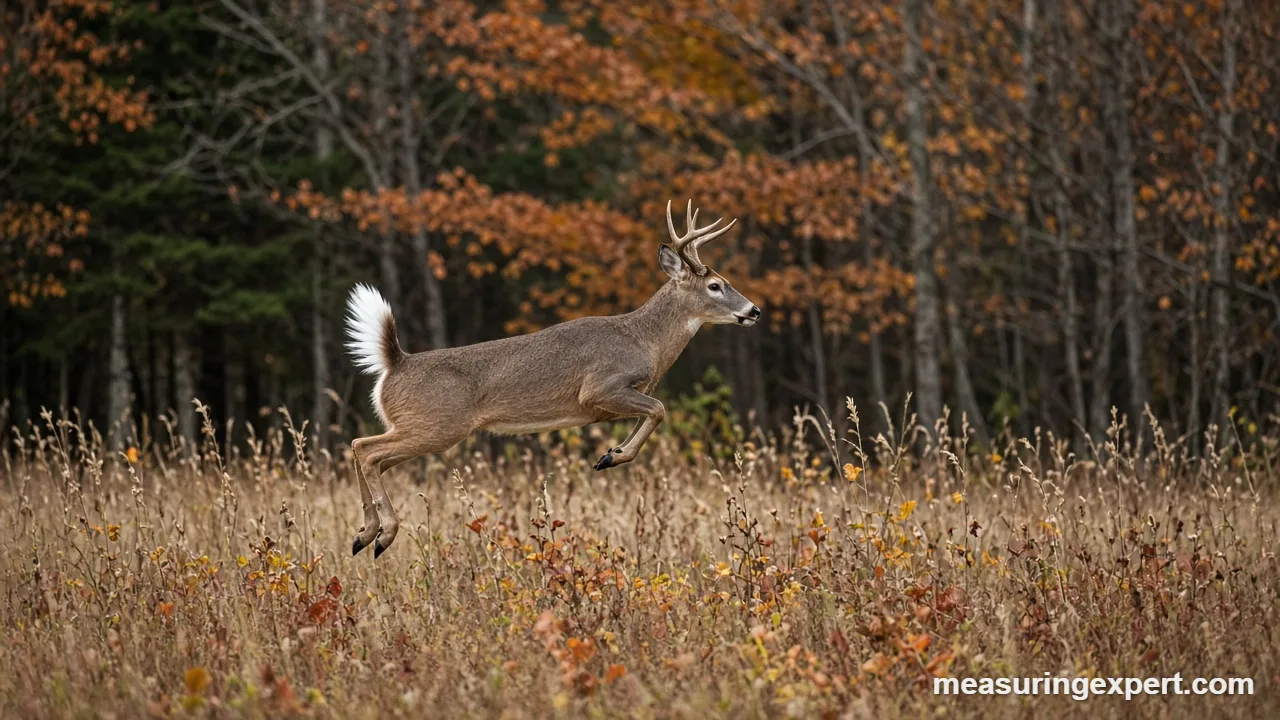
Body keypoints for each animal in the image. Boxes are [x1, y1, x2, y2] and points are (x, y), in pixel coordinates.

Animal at [344, 199, 762, 557]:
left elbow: (649, 414)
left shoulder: (618, 398)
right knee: (365, 448)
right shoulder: (598, 388)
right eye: (715, 285)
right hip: (439, 424)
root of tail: (395, 361)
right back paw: (383, 534)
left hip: (421, 428)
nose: (754, 310)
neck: (647, 341)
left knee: (367, 453)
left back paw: (364, 534)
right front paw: (614, 456)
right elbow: (658, 409)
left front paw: (610, 453)